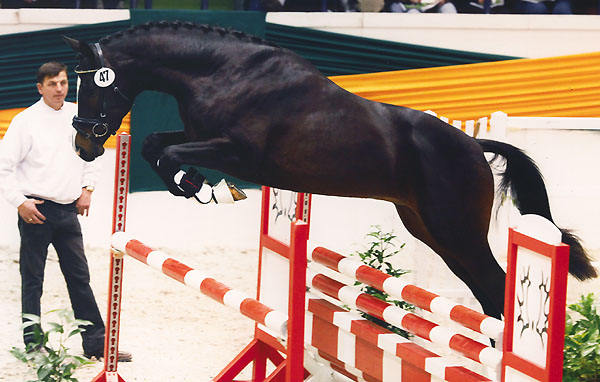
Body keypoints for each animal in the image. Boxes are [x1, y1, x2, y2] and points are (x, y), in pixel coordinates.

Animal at [63, 20, 596, 320]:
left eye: (93, 86)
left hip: (456, 230)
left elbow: (172, 154)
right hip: (431, 231)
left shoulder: (239, 154)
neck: (221, 71)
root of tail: (473, 145)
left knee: (497, 288)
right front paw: (193, 185)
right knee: (486, 296)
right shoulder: (202, 136)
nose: (84, 146)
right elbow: (155, 144)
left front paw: (201, 188)